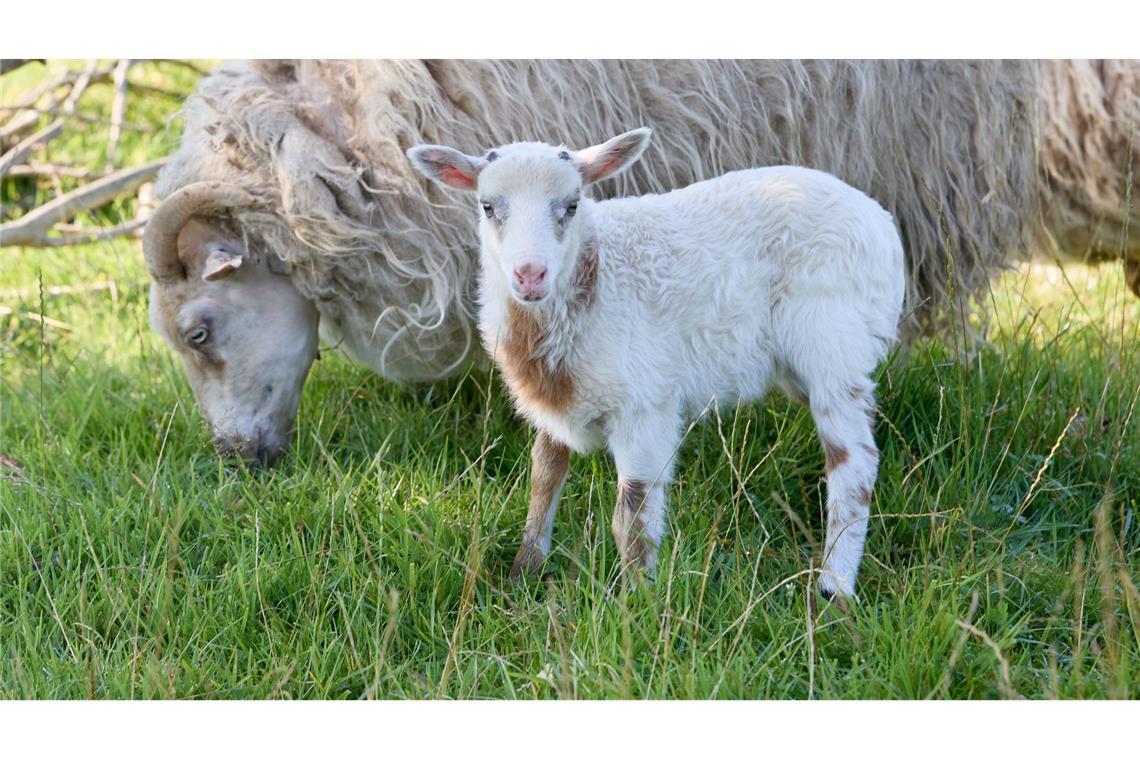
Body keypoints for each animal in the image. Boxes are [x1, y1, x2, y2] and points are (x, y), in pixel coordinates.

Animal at [410, 129, 907, 601]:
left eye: (572, 205)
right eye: (488, 206)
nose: (530, 275)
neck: (593, 279)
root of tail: (882, 225)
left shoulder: (645, 405)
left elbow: (630, 515)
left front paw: (638, 603)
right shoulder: (556, 398)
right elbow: (543, 477)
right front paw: (523, 573)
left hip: (831, 341)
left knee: (854, 464)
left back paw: (833, 589)